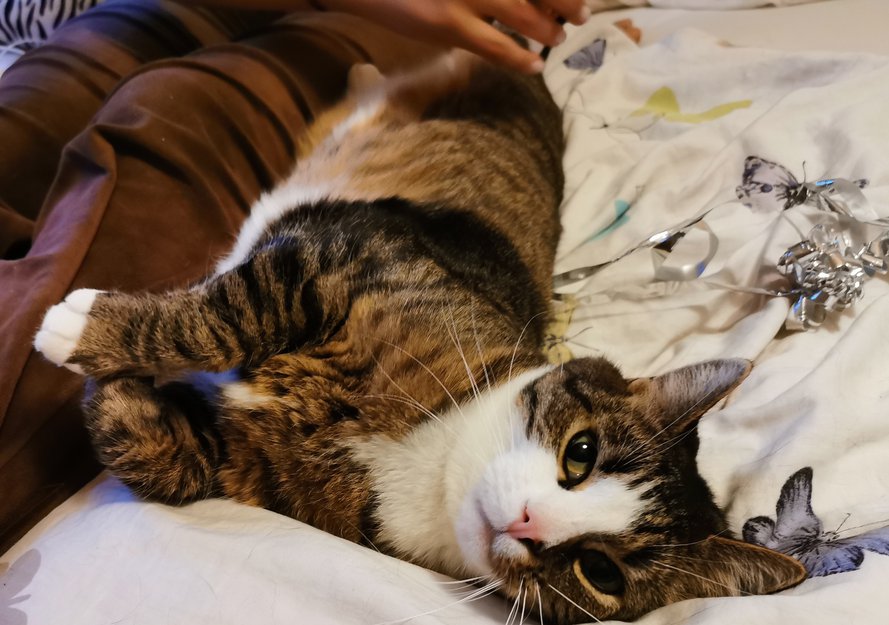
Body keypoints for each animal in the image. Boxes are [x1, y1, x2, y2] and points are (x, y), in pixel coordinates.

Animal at [33, 47, 806, 623]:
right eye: (580, 452)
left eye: (599, 570)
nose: (529, 524)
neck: (428, 468)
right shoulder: (334, 260)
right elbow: (228, 317)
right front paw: (83, 329)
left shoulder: (245, 466)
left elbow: (163, 456)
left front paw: (103, 374)